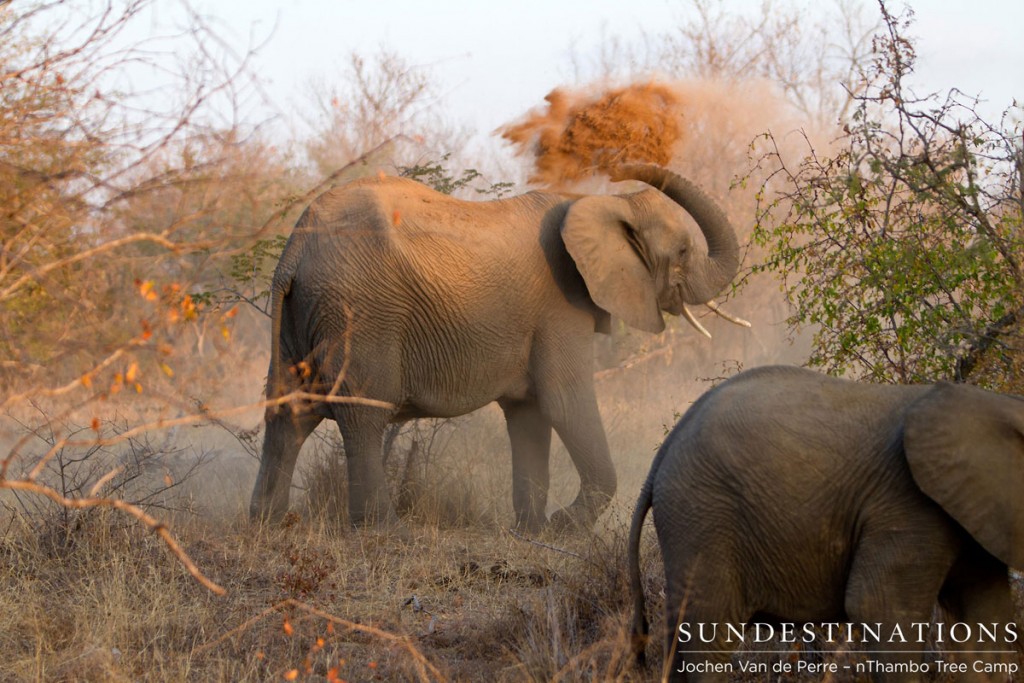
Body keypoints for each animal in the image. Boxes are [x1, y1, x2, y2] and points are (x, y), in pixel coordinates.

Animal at [251, 162, 741, 532]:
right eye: (682, 251)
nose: (620, 162)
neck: (604, 202)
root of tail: (294, 251)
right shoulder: (560, 305)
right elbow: (565, 401)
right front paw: (565, 527)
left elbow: (530, 411)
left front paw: (533, 530)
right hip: (360, 311)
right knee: (363, 413)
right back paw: (385, 531)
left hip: (300, 315)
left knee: (289, 412)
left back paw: (267, 524)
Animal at [630, 368, 1024, 683]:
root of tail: (662, 455)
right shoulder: (906, 506)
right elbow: (878, 606)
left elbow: (986, 616)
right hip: (702, 520)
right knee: (707, 639)